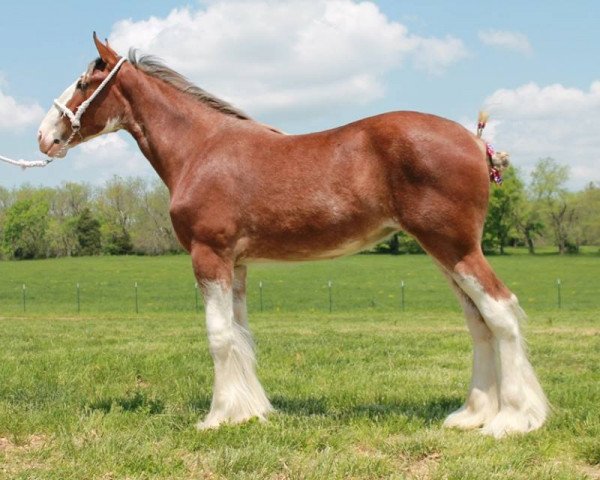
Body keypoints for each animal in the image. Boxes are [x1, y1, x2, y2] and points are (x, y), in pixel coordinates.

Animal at [37, 34, 548, 438]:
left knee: (500, 312)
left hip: (455, 248)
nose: (44, 136)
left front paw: (217, 417)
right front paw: (251, 412)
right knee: (478, 322)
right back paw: (473, 415)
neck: (201, 149)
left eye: (83, 83)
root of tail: (475, 142)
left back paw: (512, 421)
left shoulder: (209, 255)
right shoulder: (237, 263)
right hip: (444, 254)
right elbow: (241, 335)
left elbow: (219, 336)